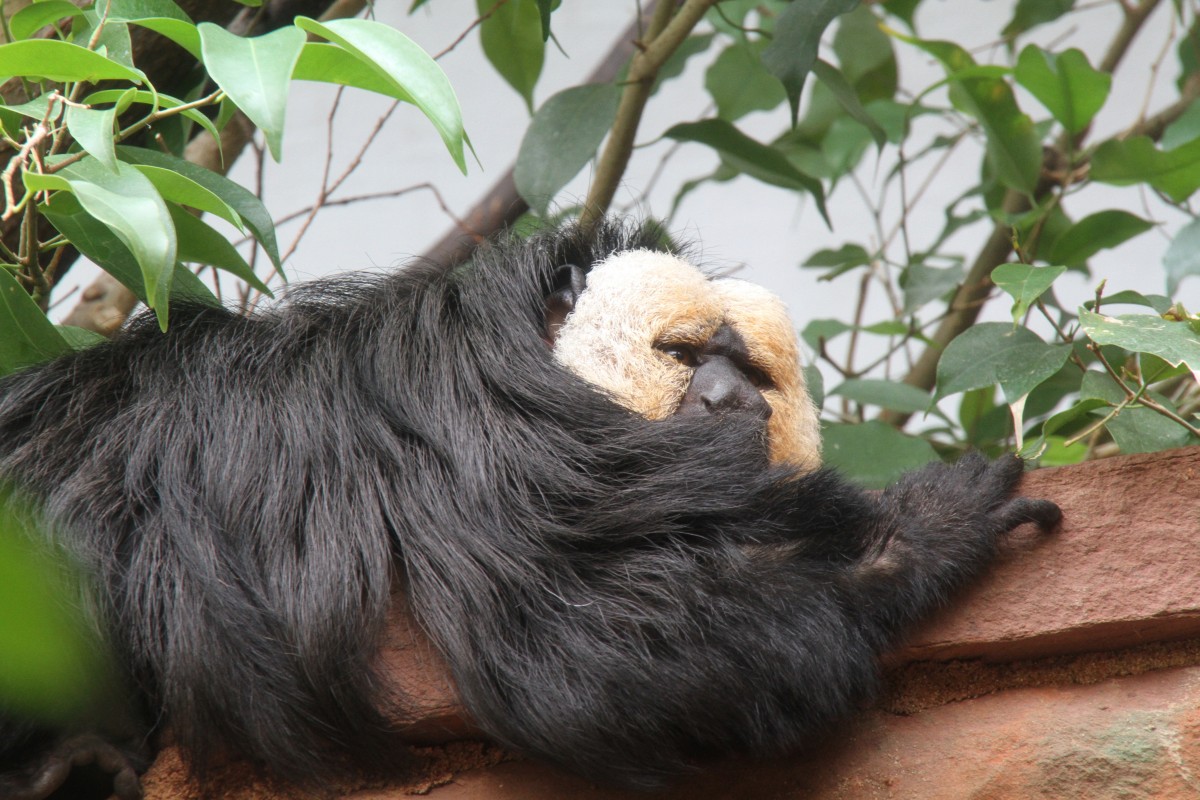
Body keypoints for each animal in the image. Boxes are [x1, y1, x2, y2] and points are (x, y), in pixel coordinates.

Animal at [0, 220, 1060, 800]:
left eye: (752, 371)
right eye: (685, 354)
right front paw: (917, 536)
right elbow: (601, 652)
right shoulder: (484, 435)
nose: (736, 402)